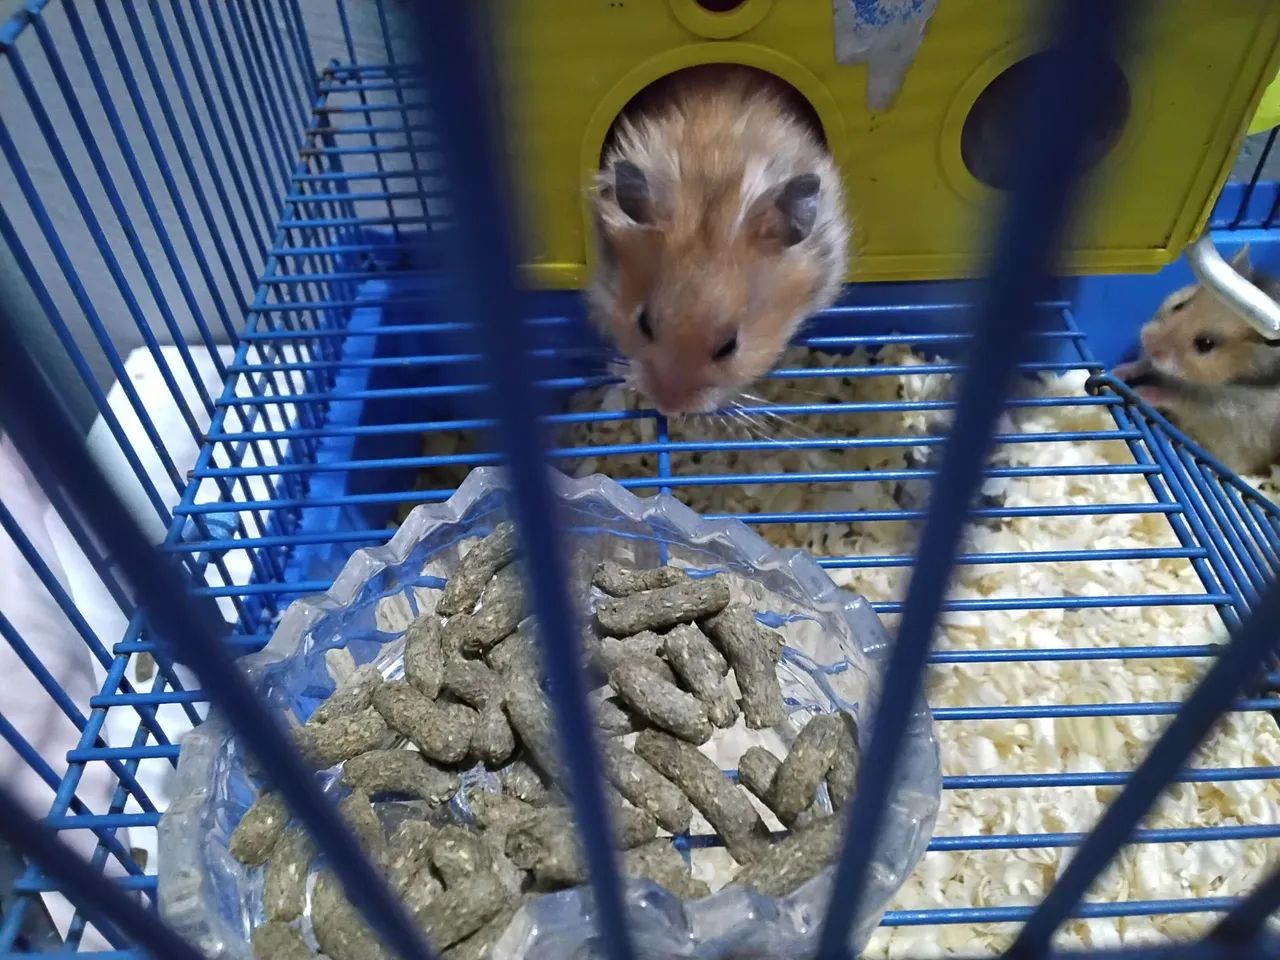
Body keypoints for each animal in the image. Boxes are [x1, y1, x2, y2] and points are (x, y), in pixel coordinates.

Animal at [1113, 246, 1280, 475]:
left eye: (1205, 344)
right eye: (1180, 305)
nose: (1146, 340)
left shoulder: (1219, 406)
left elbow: (1174, 396)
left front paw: (1141, 392)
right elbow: (1143, 364)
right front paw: (1117, 371)